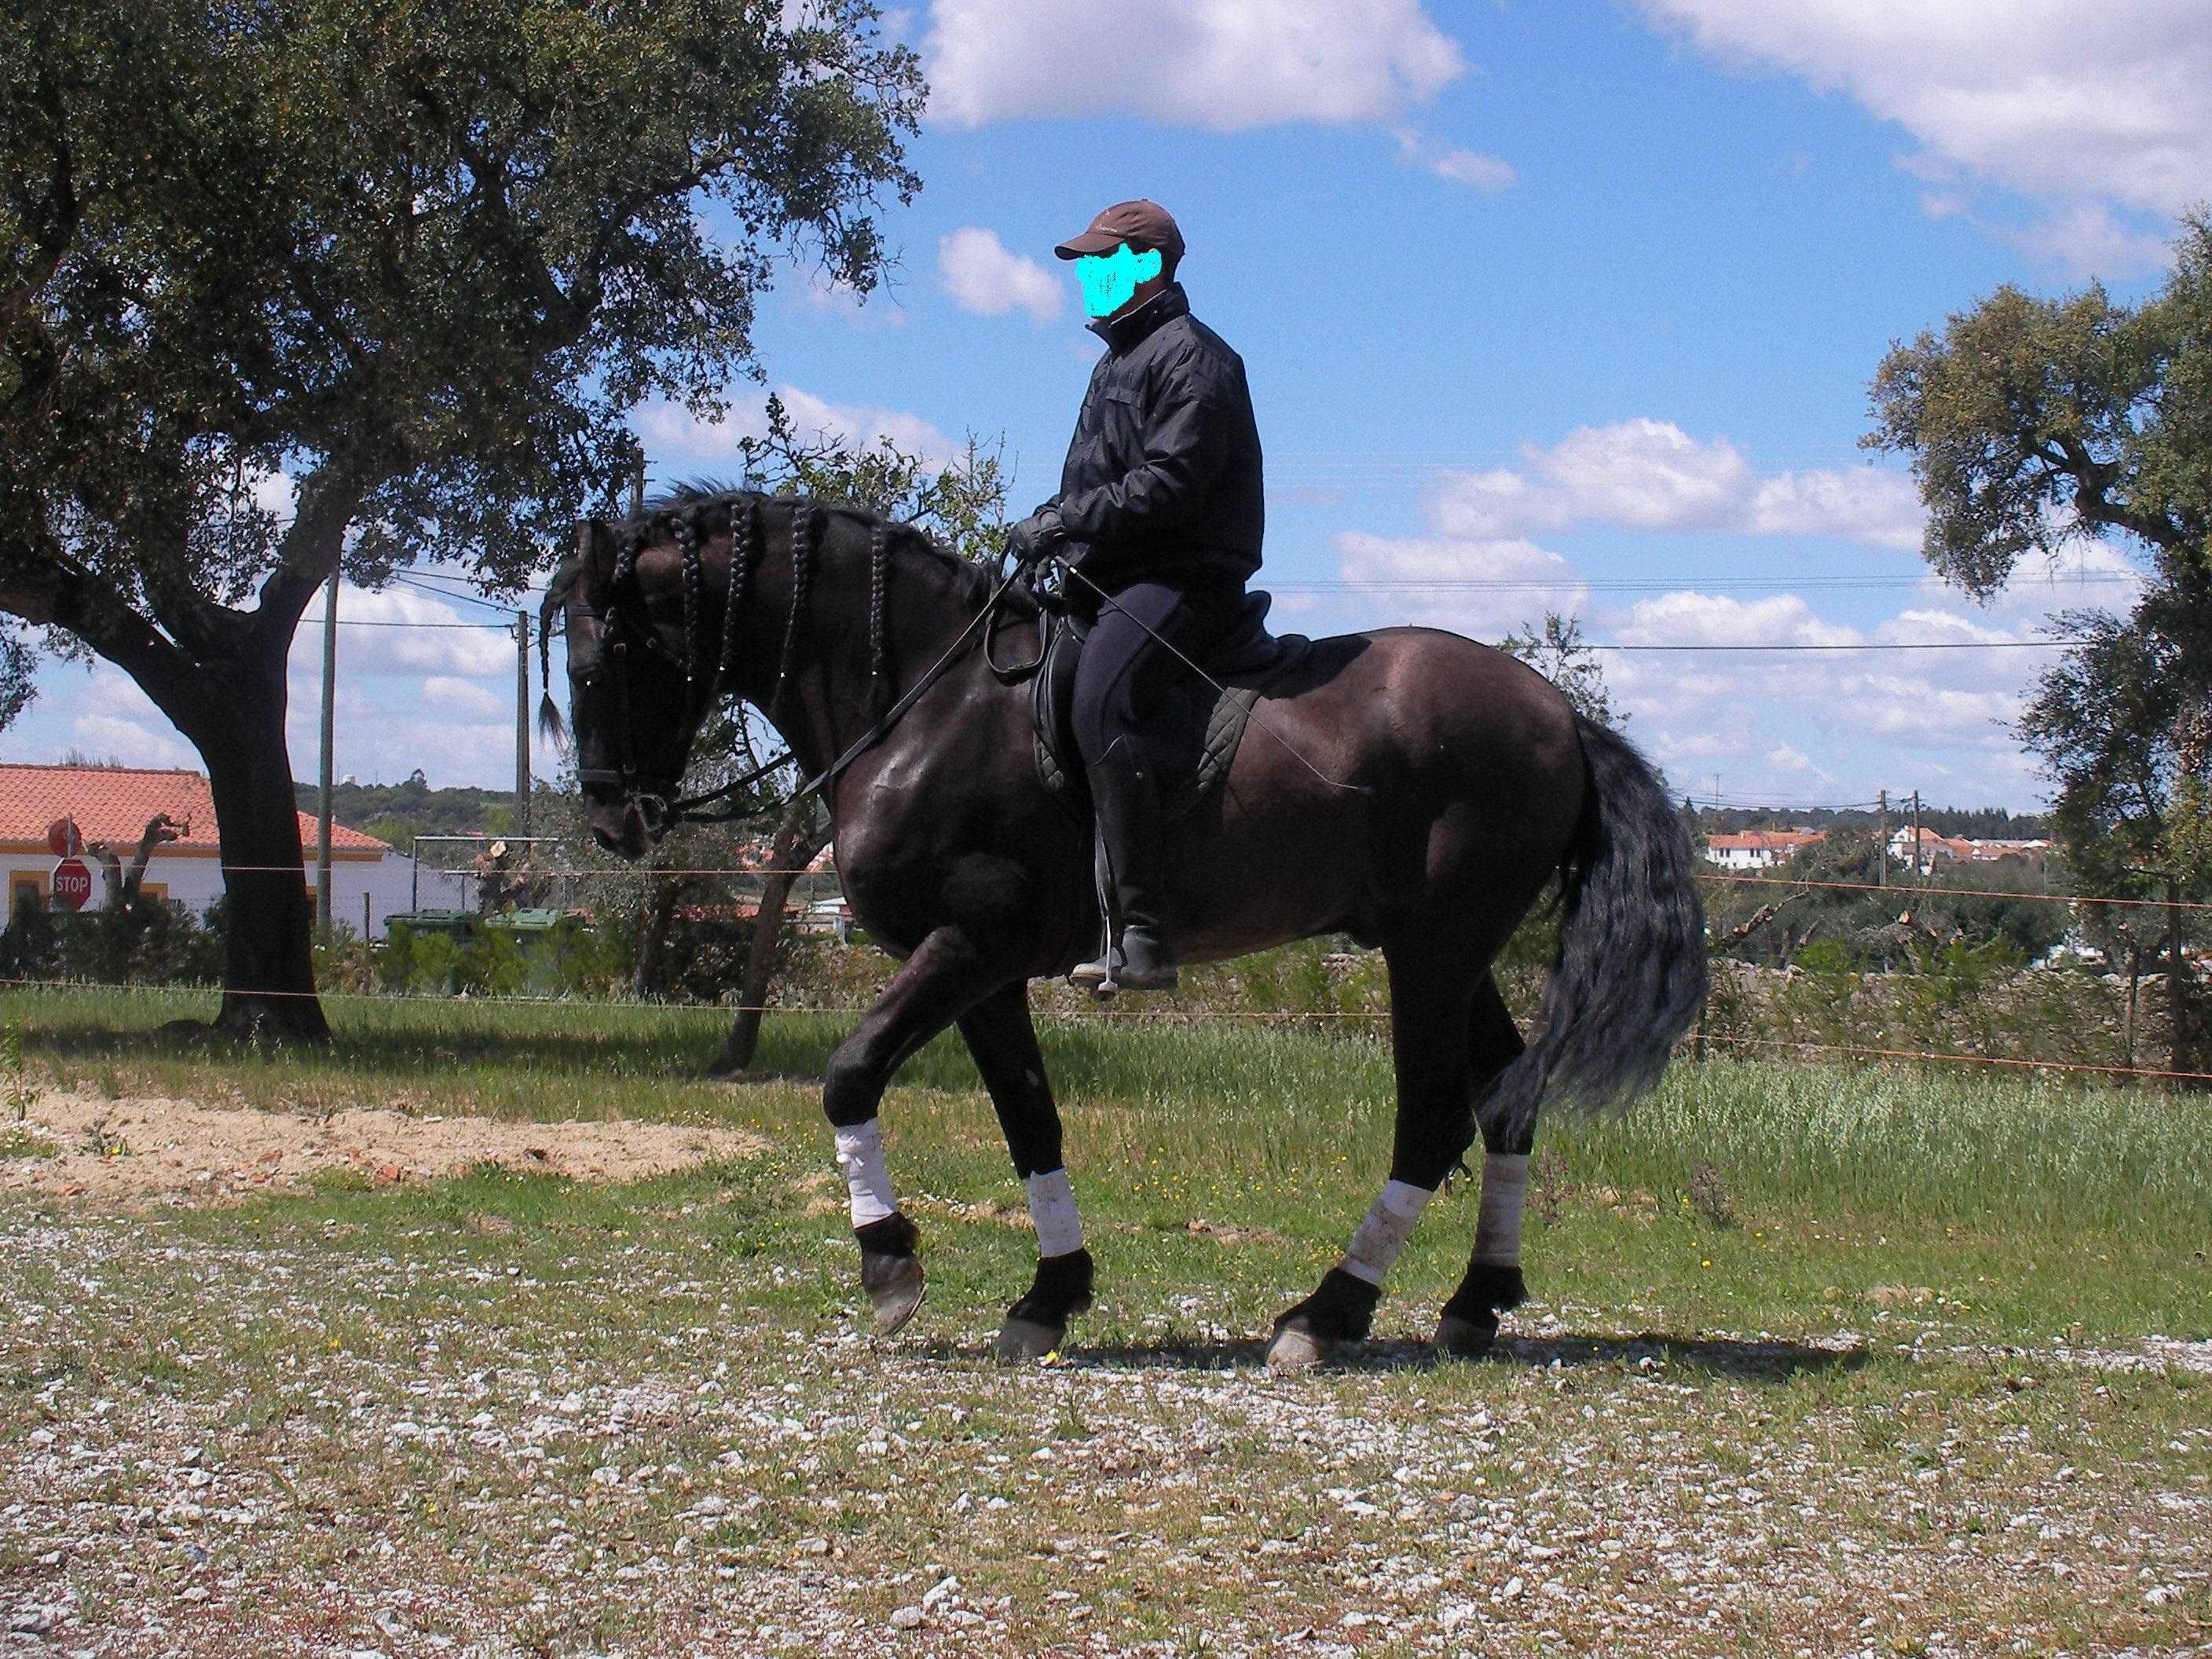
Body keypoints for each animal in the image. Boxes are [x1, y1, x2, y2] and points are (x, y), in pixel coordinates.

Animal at [540, 486, 1707, 1371]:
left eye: (600, 666)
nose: (610, 821)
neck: (925, 705)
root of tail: (1558, 714)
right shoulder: (985, 969)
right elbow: (1030, 1121)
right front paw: (1047, 1298)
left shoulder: (969, 943)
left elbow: (850, 1072)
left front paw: (890, 1266)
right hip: (1453, 952)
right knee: (1508, 1093)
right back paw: (1475, 1302)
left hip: (1432, 949)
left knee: (1434, 1117)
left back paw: (1324, 1316)